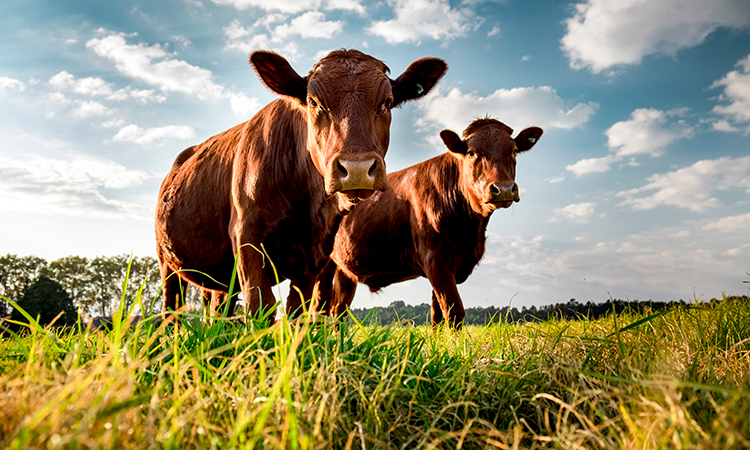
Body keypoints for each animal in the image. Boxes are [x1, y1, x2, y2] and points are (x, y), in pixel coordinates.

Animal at [153, 49, 446, 324]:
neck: (306, 204)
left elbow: (297, 312)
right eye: (314, 102)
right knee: (171, 309)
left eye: (387, 102)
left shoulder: (314, 256)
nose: (357, 169)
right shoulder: (246, 235)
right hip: (167, 261)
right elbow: (261, 304)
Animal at [308, 118, 544, 330]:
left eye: (514, 150)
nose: (503, 189)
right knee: (319, 309)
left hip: (345, 268)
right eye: (472, 152)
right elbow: (454, 312)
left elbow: (437, 317)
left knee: (338, 310)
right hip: (323, 265)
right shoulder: (435, 259)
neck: (470, 231)